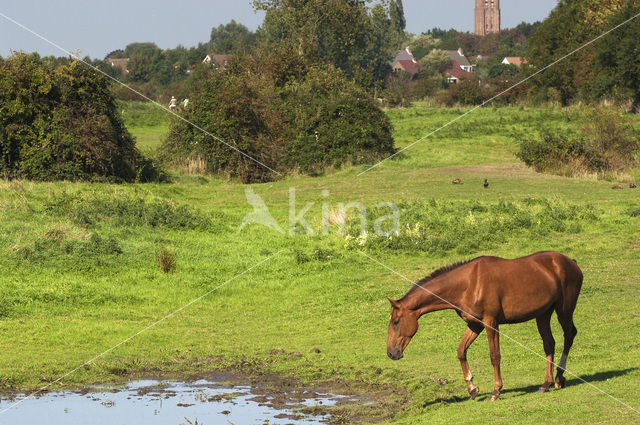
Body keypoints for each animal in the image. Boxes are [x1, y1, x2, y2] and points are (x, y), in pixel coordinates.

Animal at [388, 250, 584, 400]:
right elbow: (461, 351)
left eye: (396, 321)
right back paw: (546, 383)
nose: (391, 353)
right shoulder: (475, 325)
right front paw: (472, 388)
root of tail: (571, 262)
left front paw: (496, 391)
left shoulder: (491, 322)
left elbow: (494, 356)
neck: (468, 284)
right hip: (543, 314)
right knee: (549, 344)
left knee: (569, 335)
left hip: (564, 311)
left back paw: (559, 376)